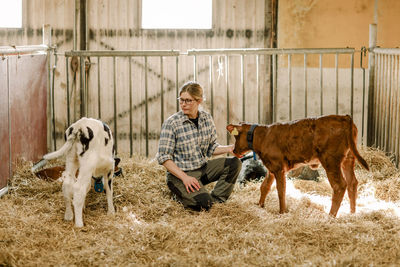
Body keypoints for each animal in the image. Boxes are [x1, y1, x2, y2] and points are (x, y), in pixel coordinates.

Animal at [227, 115, 370, 218]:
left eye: (236, 136)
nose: (233, 150)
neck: (263, 136)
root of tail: (344, 117)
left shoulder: (278, 168)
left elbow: (281, 190)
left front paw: (282, 212)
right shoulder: (271, 168)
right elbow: (265, 187)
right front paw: (260, 204)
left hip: (331, 161)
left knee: (339, 185)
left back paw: (330, 216)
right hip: (348, 159)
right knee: (352, 183)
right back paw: (352, 213)